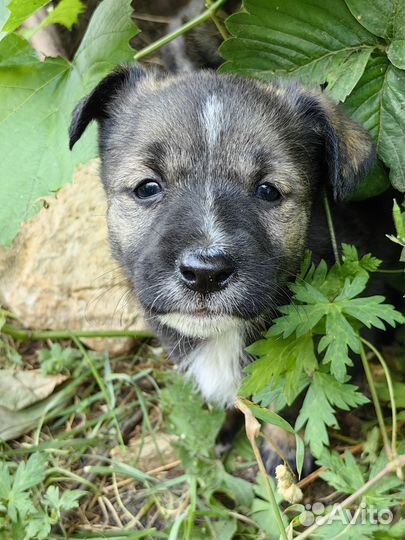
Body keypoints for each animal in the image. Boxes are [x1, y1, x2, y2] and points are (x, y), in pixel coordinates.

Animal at [68, 65, 374, 466]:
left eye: (268, 191)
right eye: (147, 187)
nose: (205, 273)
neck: (222, 337)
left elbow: (291, 391)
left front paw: (285, 445)